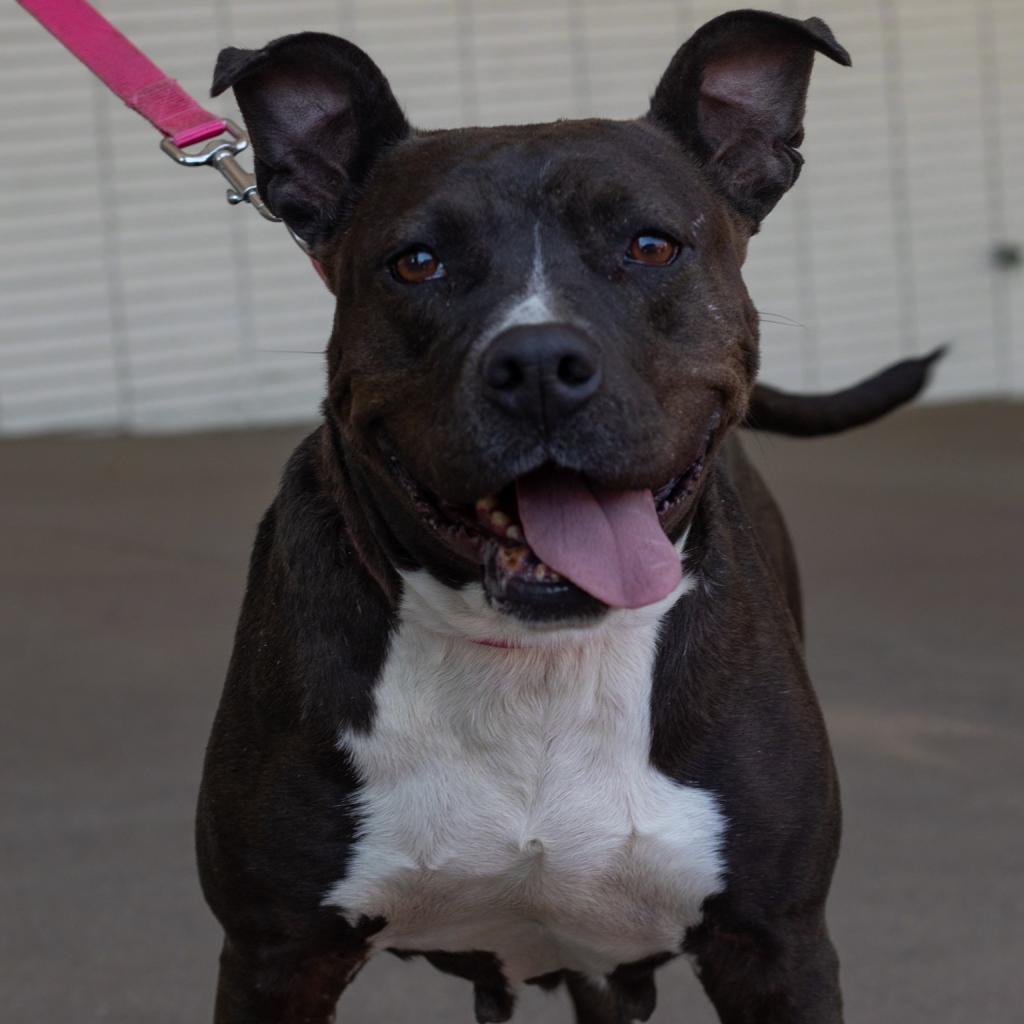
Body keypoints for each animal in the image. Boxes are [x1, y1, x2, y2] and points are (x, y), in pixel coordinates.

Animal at [197, 9, 937, 1024]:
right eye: (416, 263)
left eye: (651, 246)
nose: (540, 363)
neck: (534, 663)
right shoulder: (275, 955)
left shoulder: (775, 946)